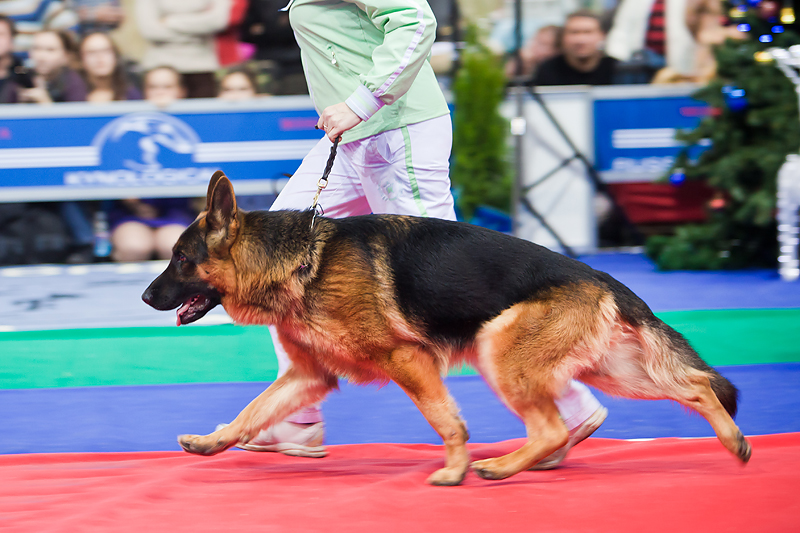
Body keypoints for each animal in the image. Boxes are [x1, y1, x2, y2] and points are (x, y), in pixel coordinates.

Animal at [142, 175, 752, 486]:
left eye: (180, 260)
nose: (147, 298)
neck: (297, 262)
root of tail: (602, 275)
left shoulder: (408, 361)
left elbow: (446, 421)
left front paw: (453, 468)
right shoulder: (307, 378)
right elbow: (249, 414)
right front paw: (213, 442)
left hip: (497, 351)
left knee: (552, 428)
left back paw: (499, 467)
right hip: (613, 369)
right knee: (696, 386)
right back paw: (733, 442)